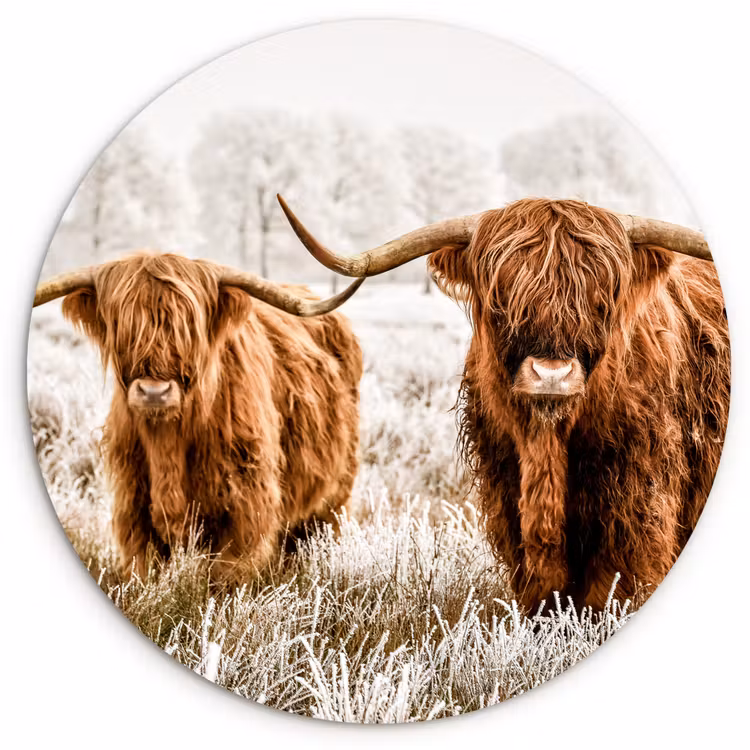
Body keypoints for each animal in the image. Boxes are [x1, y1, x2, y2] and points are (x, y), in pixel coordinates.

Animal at [33, 254, 364, 584]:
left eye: (189, 328)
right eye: (121, 326)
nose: (154, 392)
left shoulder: (246, 504)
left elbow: (227, 575)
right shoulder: (133, 505)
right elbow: (145, 568)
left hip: (335, 494)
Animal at [277, 194, 730, 613]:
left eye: (602, 300)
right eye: (502, 300)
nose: (551, 374)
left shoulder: (637, 508)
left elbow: (611, 591)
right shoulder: (506, 494)